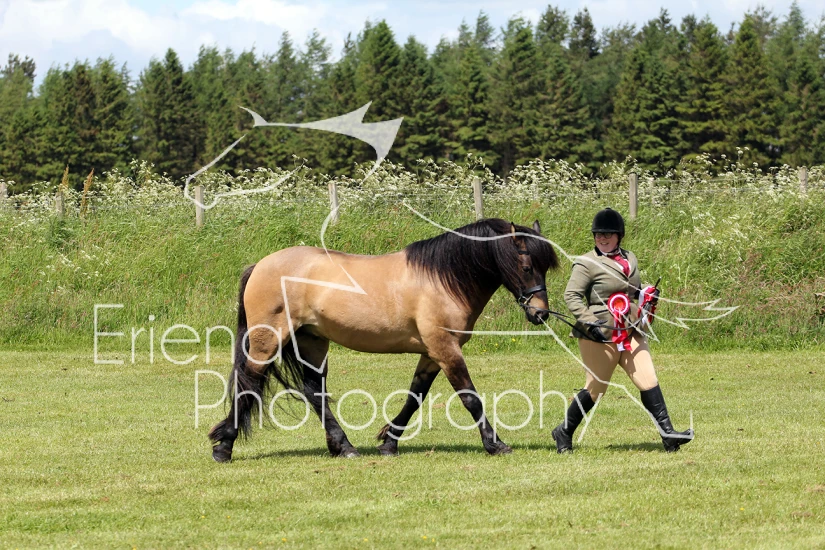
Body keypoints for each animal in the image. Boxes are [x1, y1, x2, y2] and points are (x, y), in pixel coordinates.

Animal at [208, 218, 560, 461]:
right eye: (526, 266)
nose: (541, 313)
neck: (441, 279)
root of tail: (259, 266)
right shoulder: (446, 350)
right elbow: (470, 398)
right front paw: (496, 444)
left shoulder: (432, 353)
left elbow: (415, 397)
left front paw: (389, 442)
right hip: (267, 342)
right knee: (248, 384)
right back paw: (224, 447)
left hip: (311, 342)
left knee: (314, 391)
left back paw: (344, 447)